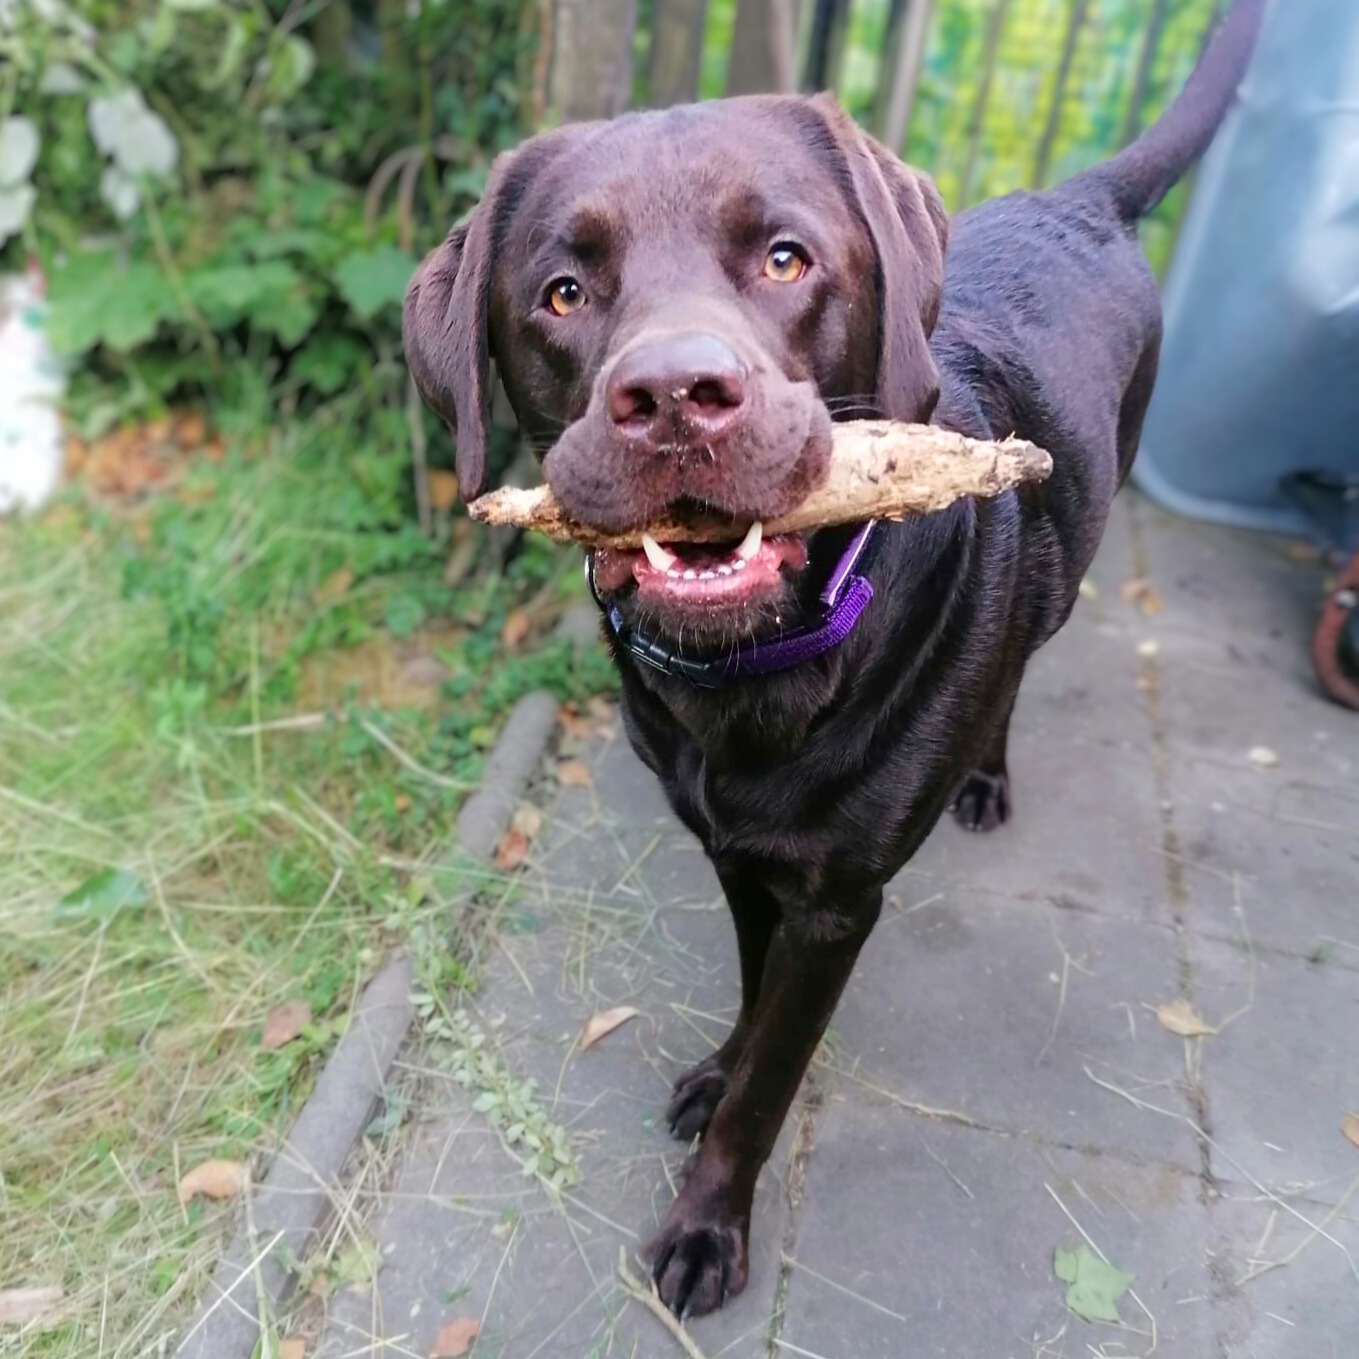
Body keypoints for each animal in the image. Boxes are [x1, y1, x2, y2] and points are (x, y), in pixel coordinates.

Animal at [405, 0, 1264, 1320]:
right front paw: (723, 1062)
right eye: (561, 290)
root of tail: (1077, 201)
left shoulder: (837, 903)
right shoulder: (742, 862)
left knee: (1020, 671)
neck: (754, 681)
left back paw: (987, 777)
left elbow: (771, 1083)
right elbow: (754, 1000)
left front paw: (709, 1223)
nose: (674, 396)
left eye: (784, 260)